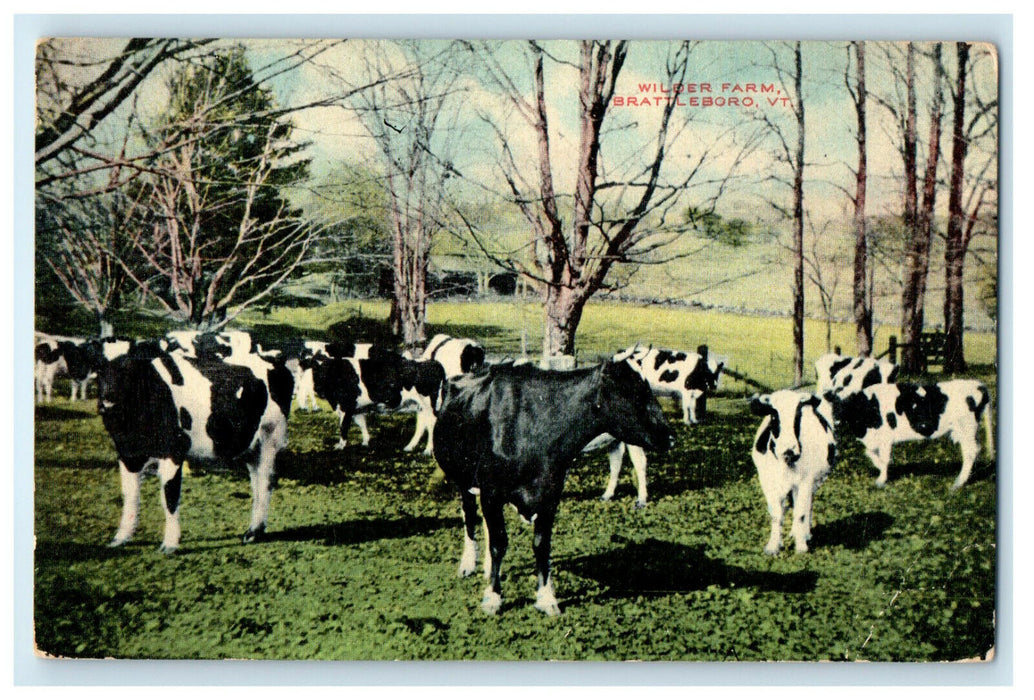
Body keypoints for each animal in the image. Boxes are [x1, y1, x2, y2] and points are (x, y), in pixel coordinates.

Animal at [96, 328, 293, 550]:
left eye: (131, 367)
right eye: (99, 368)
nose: (106, 403)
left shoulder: (173, 451)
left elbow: (170, 496)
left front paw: (170, 543)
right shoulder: (127, 453)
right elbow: (130, 496)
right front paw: (121, 537)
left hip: (271, 437)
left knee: (266, 482)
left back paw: (254, 532)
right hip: (252, 446)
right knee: (257, 483)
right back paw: (253, 530)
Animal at [301, 341, 440, 450]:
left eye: (329, 368)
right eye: (313, 368)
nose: (317, 388)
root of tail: (427, 362)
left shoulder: (347, 405)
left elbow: (343, 426)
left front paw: (341, 445)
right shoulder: (355, 407)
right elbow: (360, 422)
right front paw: (365, 441)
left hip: (429, 405)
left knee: (432, 425)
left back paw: (428, 450)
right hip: (419, 406)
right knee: (422, 424)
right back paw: (410, 447)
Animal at [434, 357, 670, 616]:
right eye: (635, 392)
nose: (669, 436)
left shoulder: (550, 494)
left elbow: (541, 545)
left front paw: (546, 598)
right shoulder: (491, 491)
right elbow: (499, 543)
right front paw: (493, 598)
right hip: (462, 479)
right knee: (470, 517)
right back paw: (468, 564)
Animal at [748, 390, 835, 554]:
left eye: (798, 416)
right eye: (774, 415)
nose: (790, 449)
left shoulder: (806, 480)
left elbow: (800, 512)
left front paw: (801, 545)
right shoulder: (767, 481)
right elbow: (776, 513)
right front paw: (773, 546)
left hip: (815, 481)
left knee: (807, 505)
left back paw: (804, 533)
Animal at [823, 380, 992, 488]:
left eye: (845, 405)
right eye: (832, 405)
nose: (834, 421)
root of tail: (978, 384)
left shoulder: (886, 438)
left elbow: (884, 459)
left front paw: (882, 479)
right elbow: (869, 453)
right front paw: (881, 470)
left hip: (966, 428)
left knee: (970, 452)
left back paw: (959, 482)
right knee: (974, 450)